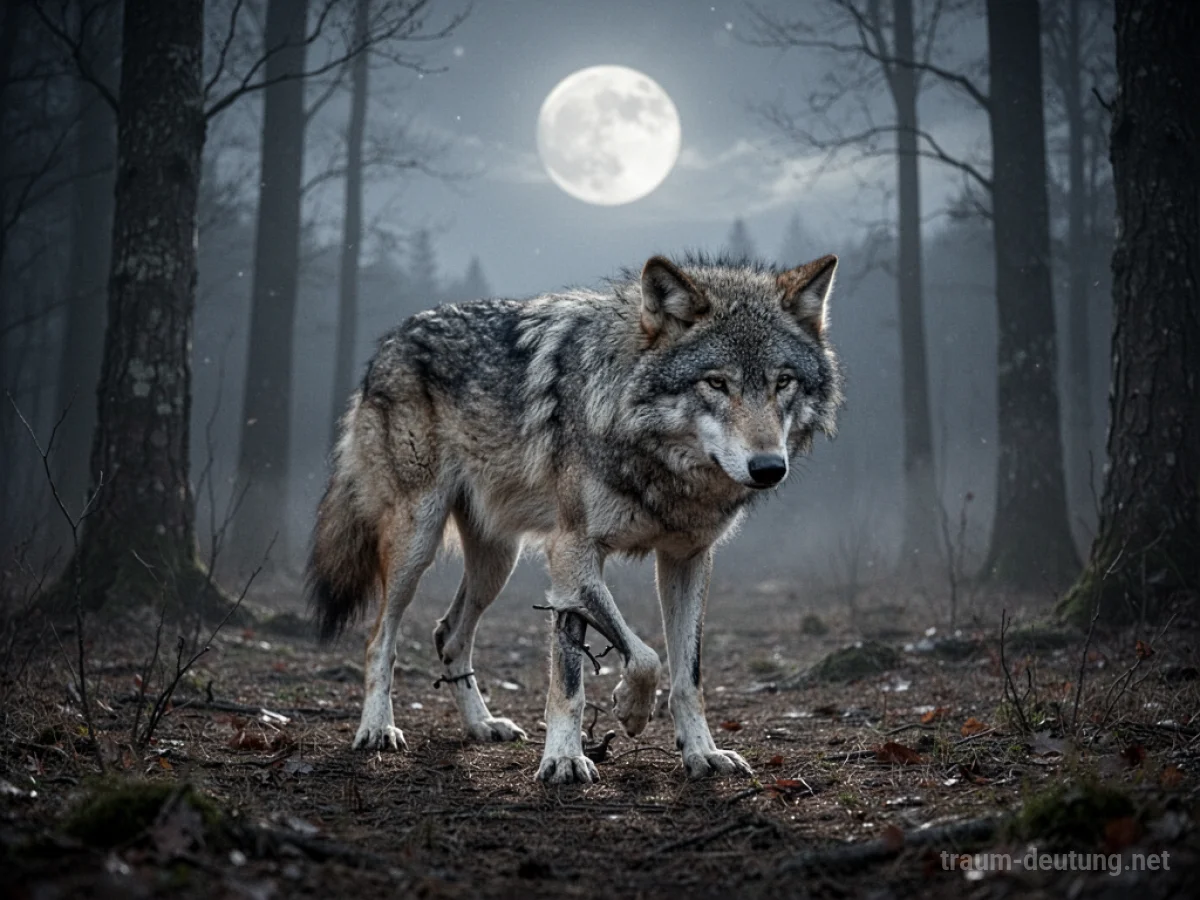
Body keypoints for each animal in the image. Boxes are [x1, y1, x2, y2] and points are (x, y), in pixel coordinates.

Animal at [308, 253, 842, 784]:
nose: (768, 467)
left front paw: (702, 752)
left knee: (449, 635)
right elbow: (615, 665)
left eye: (783, 382)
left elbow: (686, 674)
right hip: (417, 542)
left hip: (497, 563)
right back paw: (378, 729)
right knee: (380, 639)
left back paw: (482, 725)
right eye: (716, 382)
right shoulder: (572, 553)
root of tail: (392, 339)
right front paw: (578, 748)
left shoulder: (687, 559)